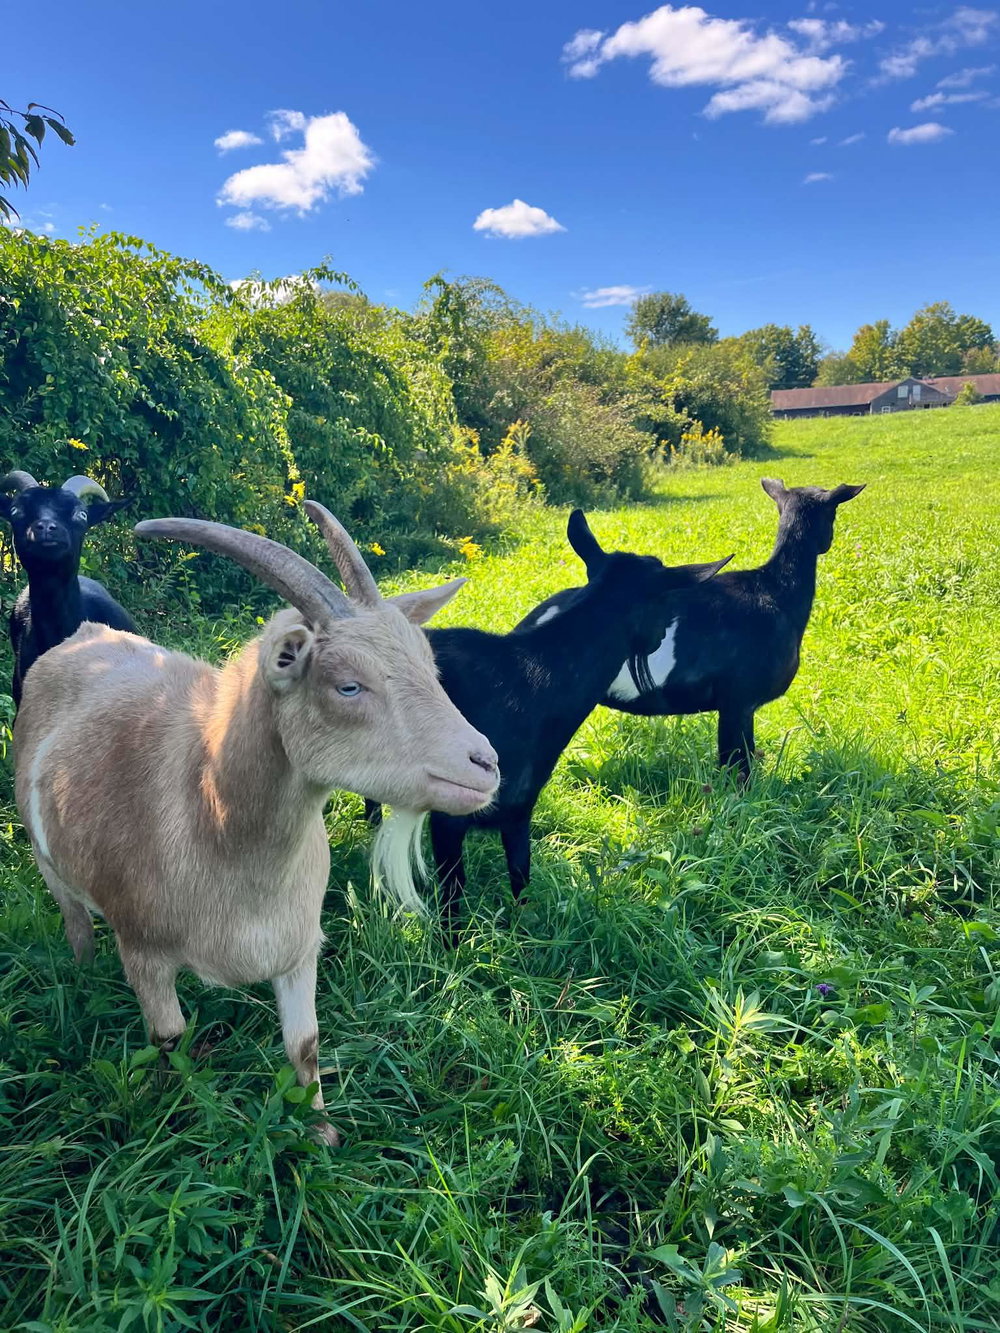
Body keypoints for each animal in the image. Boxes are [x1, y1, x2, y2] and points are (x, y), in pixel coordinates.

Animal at [14, 502, 499, 1144]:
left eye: (430, 666)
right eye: (348, 685)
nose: (486, 764)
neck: (214, 826)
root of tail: (80, 638)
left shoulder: (298, 946)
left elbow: (306, 1044)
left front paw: (321, 1132)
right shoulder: (143, 950)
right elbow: (169, 1040)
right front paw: (174, 1117)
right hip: (49, 864)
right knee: (75, 925)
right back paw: (84, 980)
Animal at [367, 509, 730, 942]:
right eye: (667, 609)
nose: (660, 641)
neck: (532, 683)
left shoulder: (520, 806)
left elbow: (521, 876)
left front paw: (525, 937)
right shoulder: (449, 811)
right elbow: (453, 891)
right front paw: (451, 946)